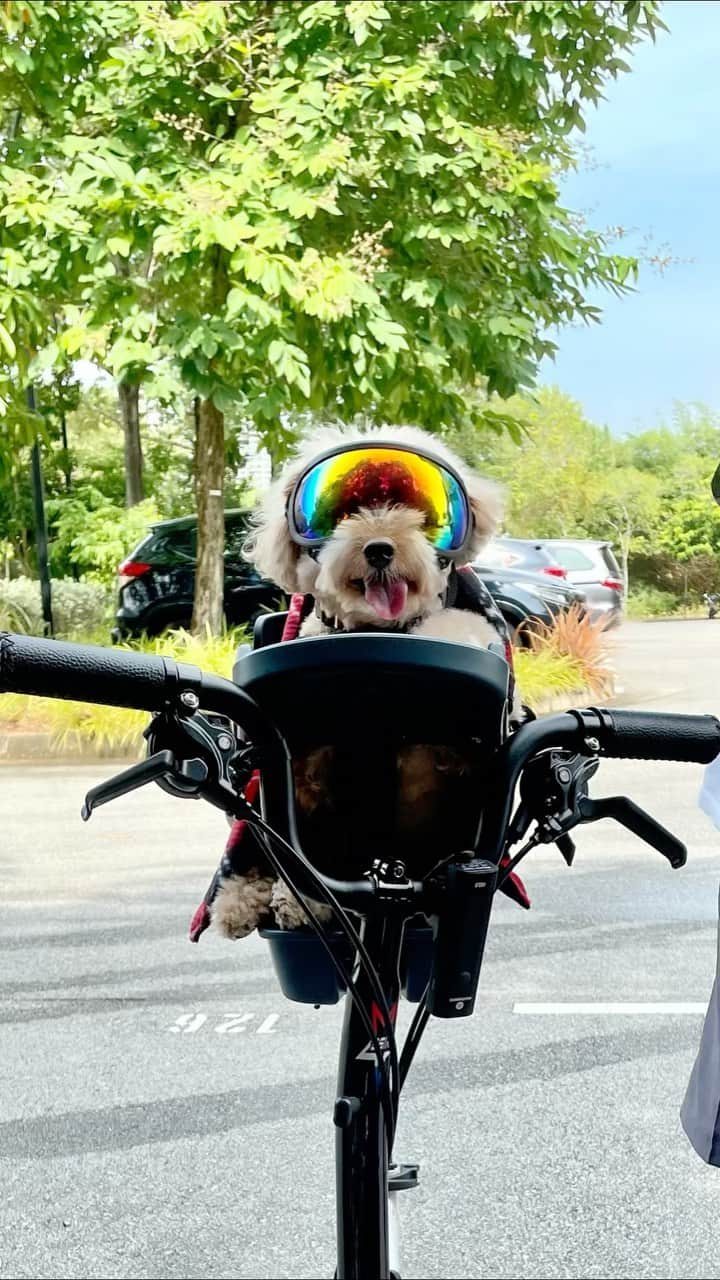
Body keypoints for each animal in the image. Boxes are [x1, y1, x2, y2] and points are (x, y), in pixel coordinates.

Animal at [204, 424, 512, 936]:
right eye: (343, 514)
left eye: (417, 512)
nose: (379, 548)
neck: (377, 631)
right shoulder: (304, 773)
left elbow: (454, 624)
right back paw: (244, 901)